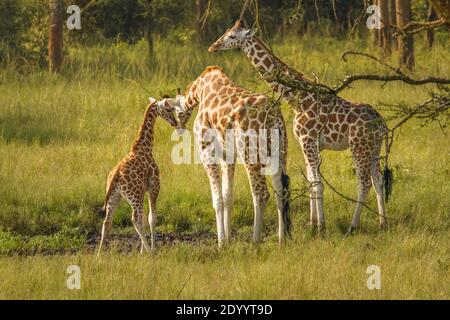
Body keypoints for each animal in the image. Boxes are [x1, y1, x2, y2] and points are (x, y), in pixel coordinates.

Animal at [97, 98, 180, 255]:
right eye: (168, 109)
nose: (175, 122)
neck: (145, 146)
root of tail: (115, 177)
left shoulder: (143, 190)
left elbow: (144, 219)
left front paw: (142, 251)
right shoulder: (154, 186)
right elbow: (151, 218)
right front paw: (151, 248)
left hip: (114, 198)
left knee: (107, 222)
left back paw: (99, 254)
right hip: (134, 197)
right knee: (134, 220)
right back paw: (150, 251)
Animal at [160, 66, 290, 246]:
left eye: (173, 110)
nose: (178, 127)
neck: (200, 90)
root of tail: (273, 118)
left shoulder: (206, 151)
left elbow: (217, 200)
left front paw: (221, 242)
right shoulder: (227, 155)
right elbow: (228, 196)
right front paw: (228, 238)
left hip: (250, 154)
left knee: (261, 194)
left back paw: (255, 242)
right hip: (280, 154)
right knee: (280, 192)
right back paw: (281, 241)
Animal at [210, 20, 390, 235]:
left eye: (232, 36)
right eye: (226, 32)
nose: (213, 46)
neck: (298, 100)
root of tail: (381, 123)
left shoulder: (308, 141)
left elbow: (317, 184)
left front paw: (321, 226)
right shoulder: (306, 143)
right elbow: (311, 181)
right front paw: (313, 223)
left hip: (359, 147)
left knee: (364, 183)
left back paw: (352, 227)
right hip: (375, 148)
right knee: (378, 180)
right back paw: (382, 223)